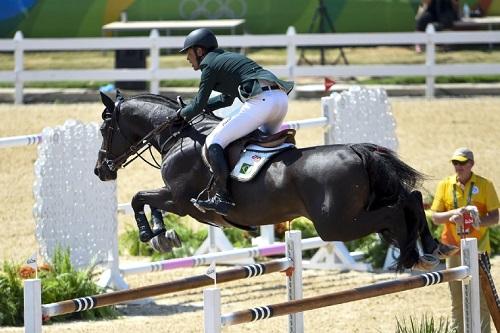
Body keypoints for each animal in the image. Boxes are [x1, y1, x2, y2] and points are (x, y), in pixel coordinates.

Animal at [94, 90, 450, 270]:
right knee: (411, 199)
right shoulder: (175, 199)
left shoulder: (181, 200)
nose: (100, 170)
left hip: (337, 224)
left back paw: (410, 255)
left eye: (103, 128)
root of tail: (358, 151)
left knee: (395, 212)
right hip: (360, 209)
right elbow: (147, 201)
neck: (179, 135)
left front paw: (149, 234)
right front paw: (162, 237)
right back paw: (433, 247)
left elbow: (139, 198)